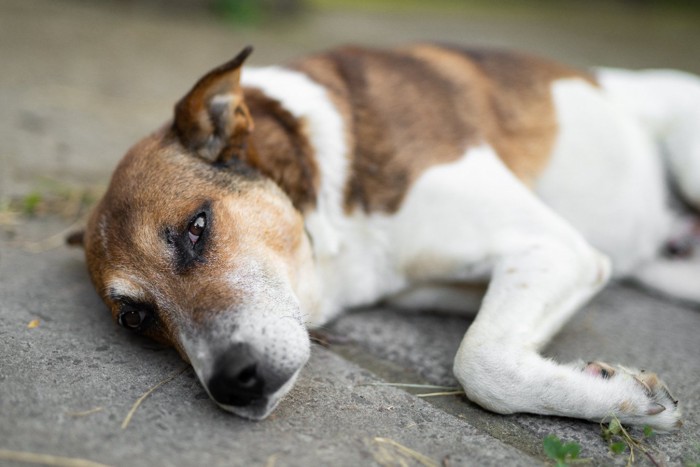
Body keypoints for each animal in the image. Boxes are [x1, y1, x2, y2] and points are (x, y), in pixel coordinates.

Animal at [72, 44, 700, 432]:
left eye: (197, 227)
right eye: (135, 319)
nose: (233, 384)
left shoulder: (555, 246)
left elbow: (481, 363)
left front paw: (627, 401)